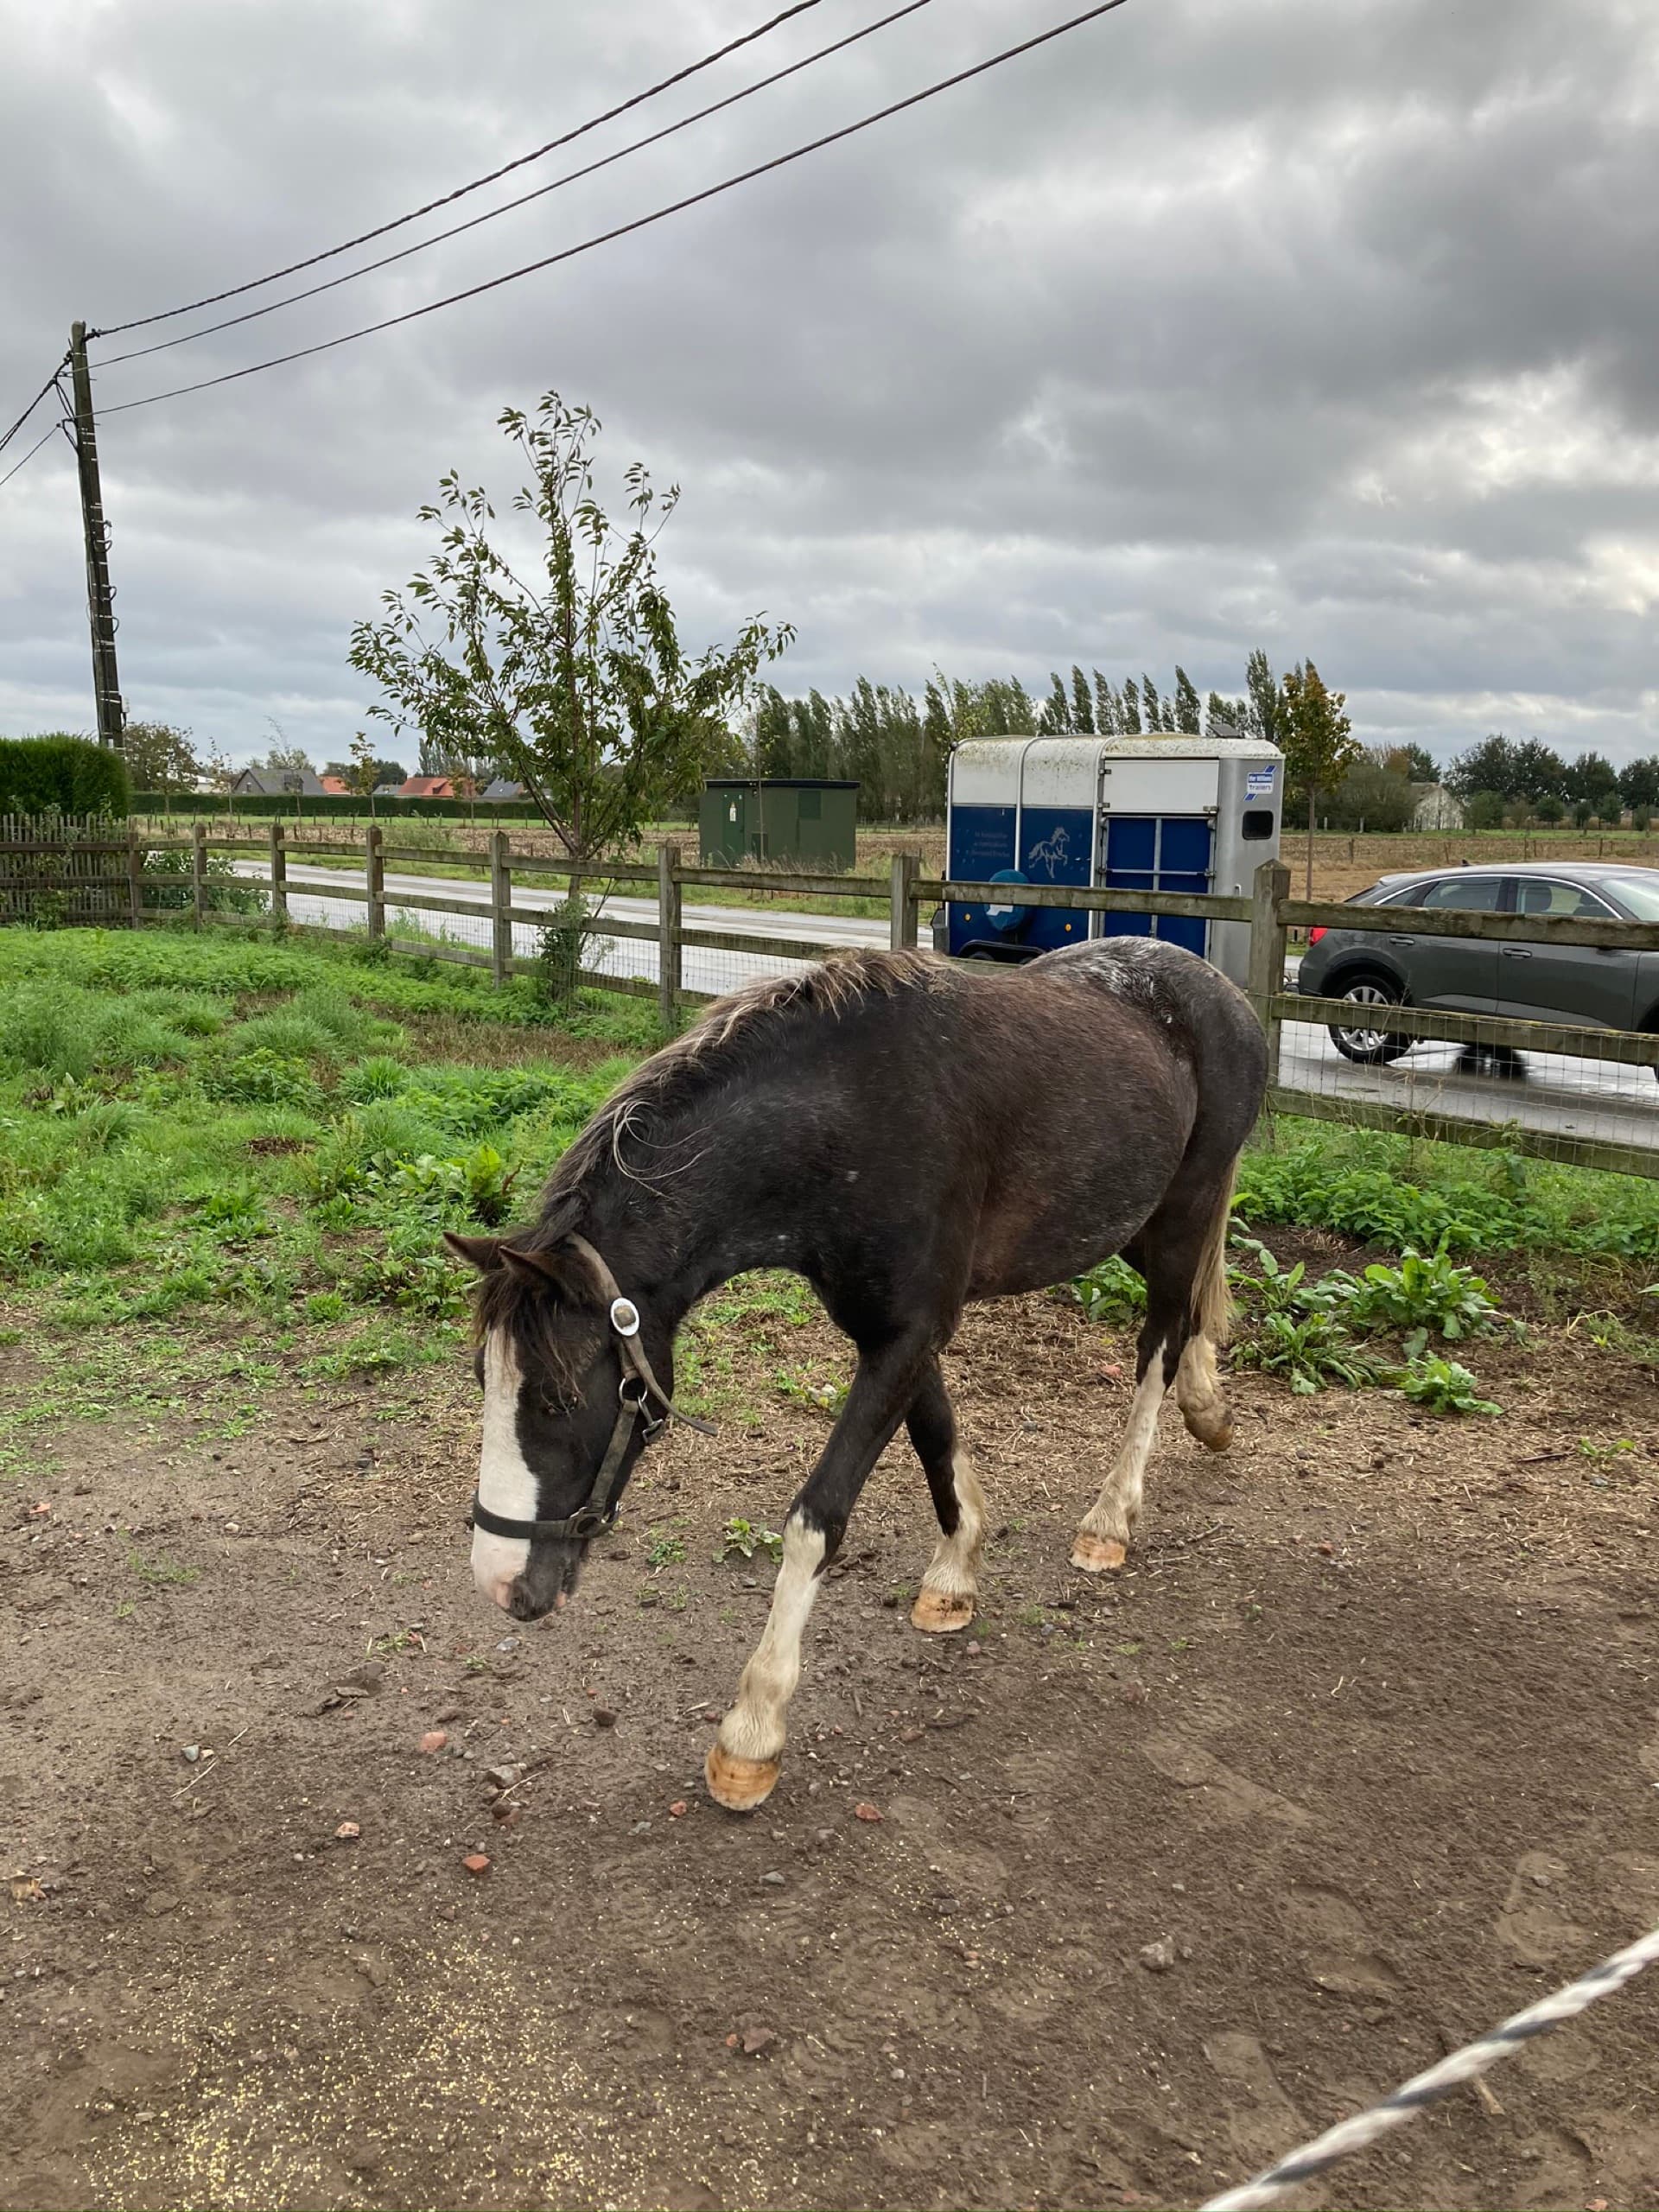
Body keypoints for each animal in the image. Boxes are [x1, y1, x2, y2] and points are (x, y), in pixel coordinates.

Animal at [444, 937, 1267, 1813]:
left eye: (560, 1397)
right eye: (484, 1382)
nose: (499, 1583)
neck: (848, 1119)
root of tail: (1220, 990)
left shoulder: (906, 1333)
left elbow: (818, 1517)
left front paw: (753, 1730)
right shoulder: (894, 1331)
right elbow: (935, 1435)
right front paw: (956, 1572)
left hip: (1182, 1209)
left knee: (1161, 1340)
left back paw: (1111, 1519)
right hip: (1132, 1225)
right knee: (1200, 1305)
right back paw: (1209, 1411)